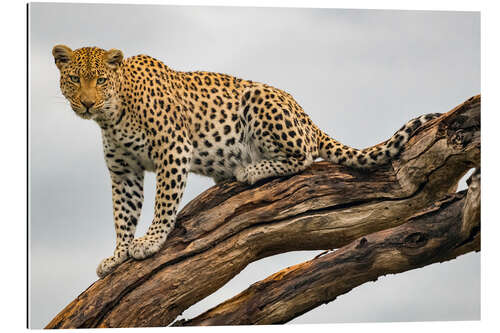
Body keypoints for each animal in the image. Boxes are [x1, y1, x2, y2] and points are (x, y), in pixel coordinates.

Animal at [52, 44, 440, 278]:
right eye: (74, 79)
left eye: (101, 79)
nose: (87, 103)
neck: (112, 116)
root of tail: (309, 117)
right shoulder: (124, 171)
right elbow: (123, 214)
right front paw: (118, 254)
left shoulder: (173, 149)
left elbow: (163, 202)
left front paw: (151, 241)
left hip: (260, 100)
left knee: (302, 155)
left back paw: (250, 169)